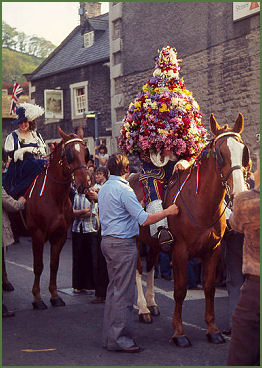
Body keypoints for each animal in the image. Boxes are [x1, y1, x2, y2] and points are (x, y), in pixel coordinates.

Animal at [25, 128, 89, 310]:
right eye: (69, 155)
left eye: (85, 153)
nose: (84, 185)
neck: (54, 197)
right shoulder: (37, 235)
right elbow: (38, 266)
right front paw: (37, 298)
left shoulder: (59, 236)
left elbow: (54, 265)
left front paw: (54, 296)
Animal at [129, 113, 250, 346]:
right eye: (221, 154)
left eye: (243, 152)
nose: (240, 193)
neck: (200, 204)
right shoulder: (180, 252)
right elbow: (180, 290)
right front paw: (179, 333)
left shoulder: (213, 251)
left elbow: (210, 288)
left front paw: (213, 330)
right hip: (137, 241)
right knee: (138, 271)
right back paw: (142, 309)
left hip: (154, 244)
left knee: (151, 267)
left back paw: (152, 304)